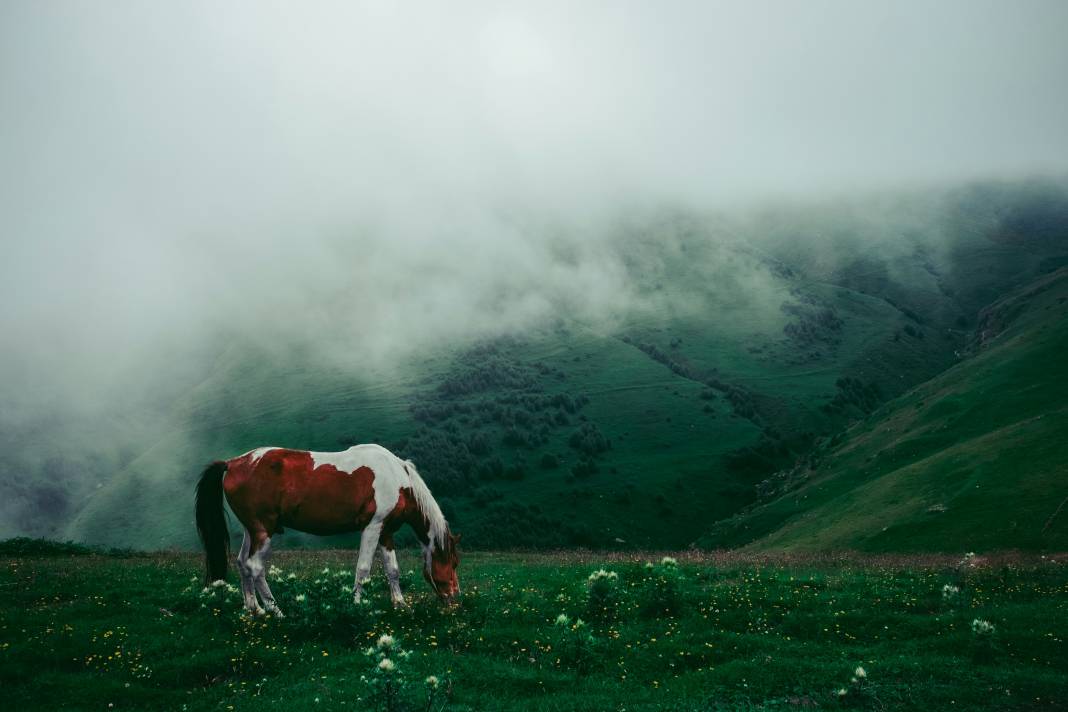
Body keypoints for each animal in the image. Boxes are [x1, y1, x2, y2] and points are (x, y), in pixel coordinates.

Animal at [195, 441, 459, 614]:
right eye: (454, 563)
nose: (455, 598)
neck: (397, 479)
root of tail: (233, 463)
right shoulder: (372, 528)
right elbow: (363, 569)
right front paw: (357, 605)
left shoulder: (386, 532)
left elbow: (392, 569)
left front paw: (400, 604)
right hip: (263, 531)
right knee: (255, 566)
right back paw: (275, 611)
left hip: (251, 530)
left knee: (242, 563)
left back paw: (255, 610)